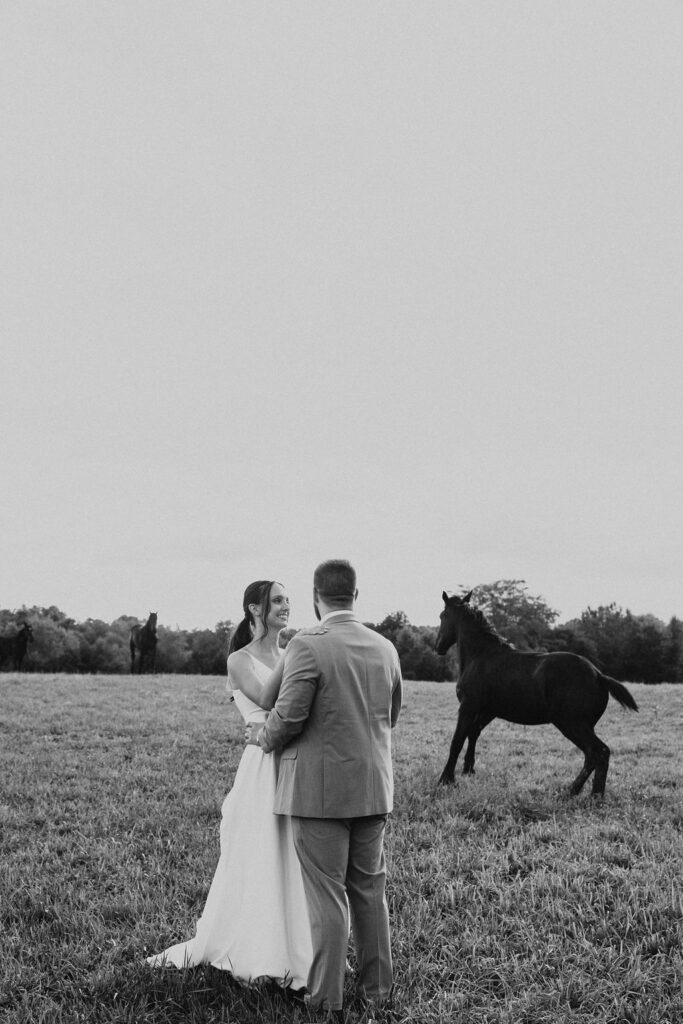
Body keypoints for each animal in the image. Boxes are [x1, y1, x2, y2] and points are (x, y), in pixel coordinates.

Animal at [436, 589, 638, 794]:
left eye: (442, 616)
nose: (438, 647)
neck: (481, 656)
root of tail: (598, 675)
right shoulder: (488, 711)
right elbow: (473, 733)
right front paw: (468, 770)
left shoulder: (468, 707)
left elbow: (457, 740)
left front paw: (446, 779)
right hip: (584, 725)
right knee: (593, 755)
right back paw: (579, 792)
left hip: (573, 724)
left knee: (599, 752)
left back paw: (585, 793)